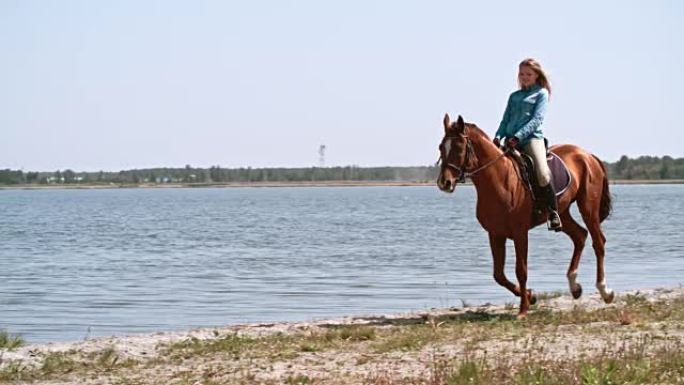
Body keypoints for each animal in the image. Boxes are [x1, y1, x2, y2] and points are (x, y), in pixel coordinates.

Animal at [438, 114, 616, 318]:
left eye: (459, 147)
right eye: (441, 147)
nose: (444, 182)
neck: (499, 180)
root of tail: (587, 154)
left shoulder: (520, 233)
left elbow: (521, 270)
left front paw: (523, 309)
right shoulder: (495, 234)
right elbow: (498, 275)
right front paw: (531, 297)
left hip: (588, 208)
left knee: (598, 242)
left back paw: (605, 291)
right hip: (562, 212)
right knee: (580, 236)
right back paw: (575, 287)